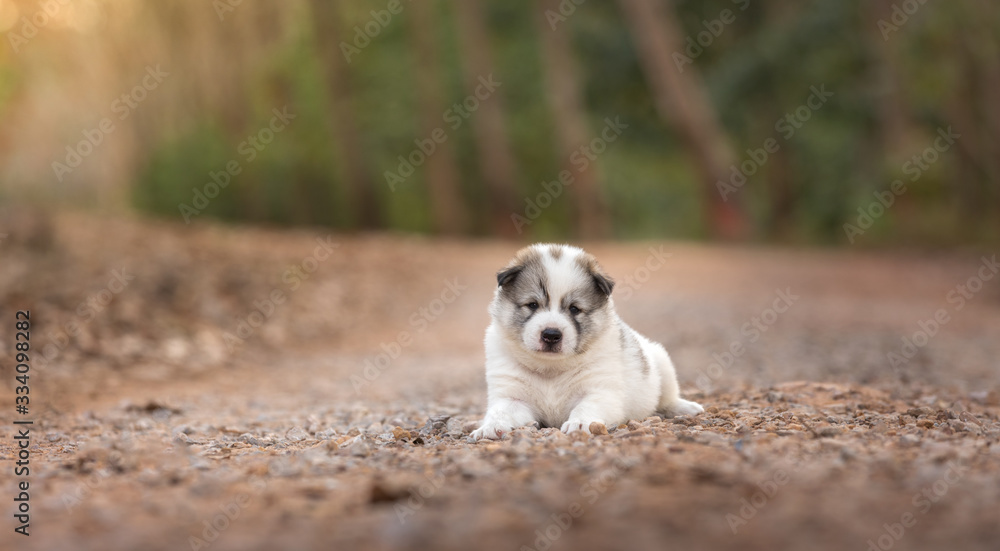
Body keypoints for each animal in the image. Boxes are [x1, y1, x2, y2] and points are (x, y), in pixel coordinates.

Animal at [474, 244, 704, 442]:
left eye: (574, 309)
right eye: (532, 305)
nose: (551, 334)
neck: (551, 370)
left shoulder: (600, 391)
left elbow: (586, 407)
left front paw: (579, 424)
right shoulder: (510, 396)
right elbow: (499, 410)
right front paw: (488, 427)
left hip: (662, 363)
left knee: (668, 398)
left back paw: (687, 408)